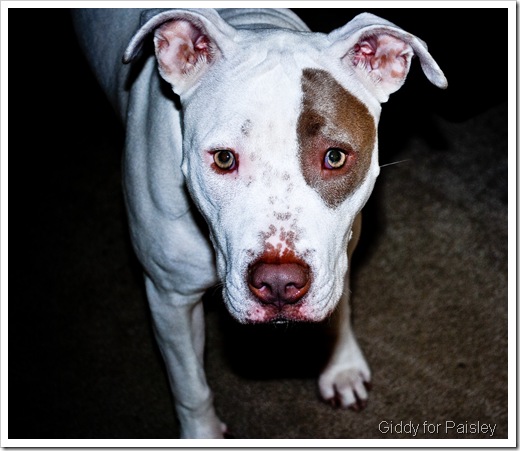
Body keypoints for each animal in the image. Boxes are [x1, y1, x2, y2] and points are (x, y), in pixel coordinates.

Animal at [73, 8, 447, 438]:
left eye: (335, 157)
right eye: (223, 159)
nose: (279, 283)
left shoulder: (341, 248)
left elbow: (340, 302)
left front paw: (341, 366)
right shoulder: (169, 297)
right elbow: (190, 385)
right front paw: (202, 433)